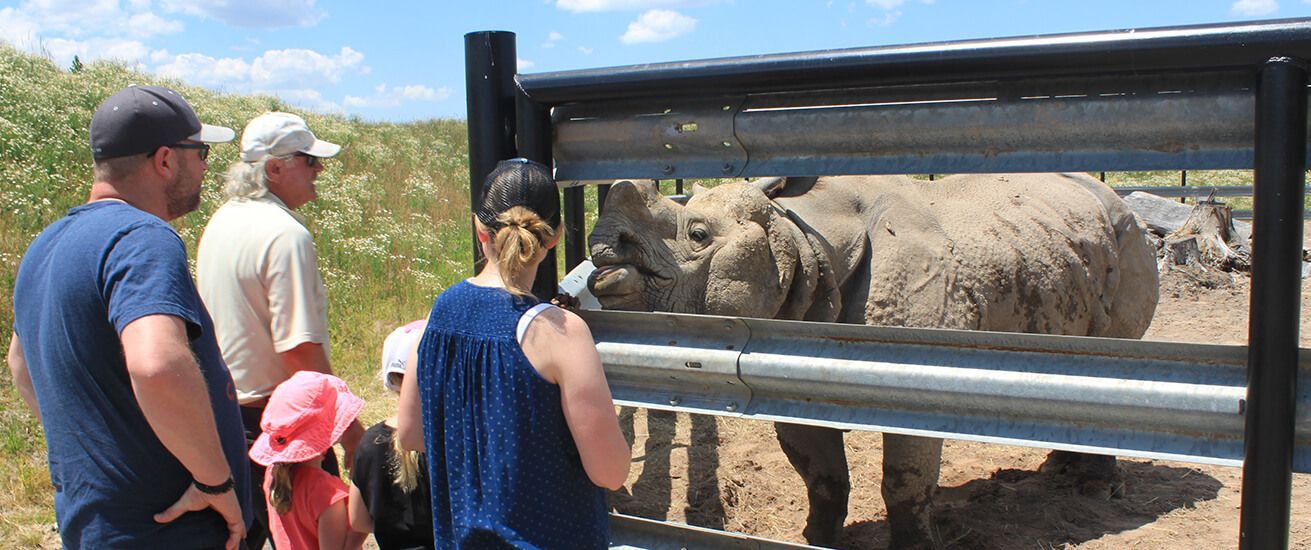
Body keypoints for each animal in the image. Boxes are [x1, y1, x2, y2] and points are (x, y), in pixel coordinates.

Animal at [586, 173, 1160, 549]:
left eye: (699, 236)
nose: (602, 257)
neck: (804, 239)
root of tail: (1115, 193)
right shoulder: (781, 368)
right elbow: (822, 477)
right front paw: (814, 539)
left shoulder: (913, 381)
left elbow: (904, 480)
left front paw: (916, 547)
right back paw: (1062, 470)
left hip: (1128, 235)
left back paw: (1094, 490)